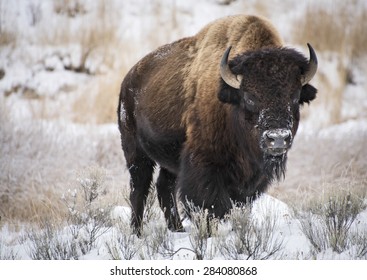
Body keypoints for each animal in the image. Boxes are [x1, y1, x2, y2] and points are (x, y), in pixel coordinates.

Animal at [118, 14, 320, 235]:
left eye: (295, 97)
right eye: (249, 97)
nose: (278, 138)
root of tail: (128, 79)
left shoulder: (251, 179)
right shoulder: (205, 166)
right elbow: (211, 206)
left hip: (169, 160)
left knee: (164, 187)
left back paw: (177, 229)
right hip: (136, 152)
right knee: (139, 189)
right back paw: (136, 232)